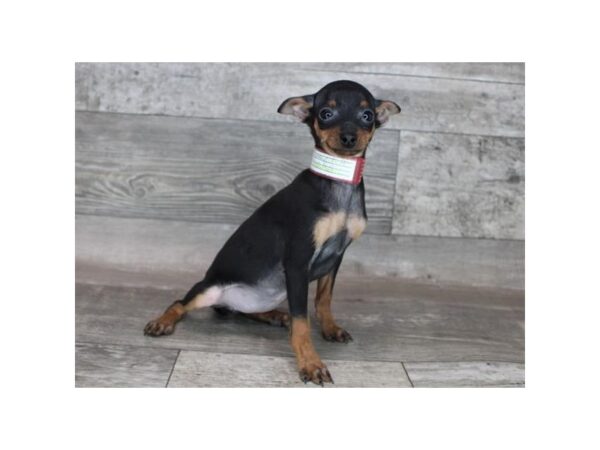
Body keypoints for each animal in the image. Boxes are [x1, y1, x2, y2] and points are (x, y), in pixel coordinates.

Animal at [143, 80, 400, 384]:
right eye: (326, 114)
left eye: (367, 116)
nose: (349, 137)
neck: (338, 184)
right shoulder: (298, 262)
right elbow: (301, 322)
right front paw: (310, 362)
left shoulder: (335, 257)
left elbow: (323, 300)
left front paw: (330, 328)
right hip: (209, 290)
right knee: (179, 303)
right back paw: (162, 321)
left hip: (271, 293)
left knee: (244, 311)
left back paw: (275, 316)